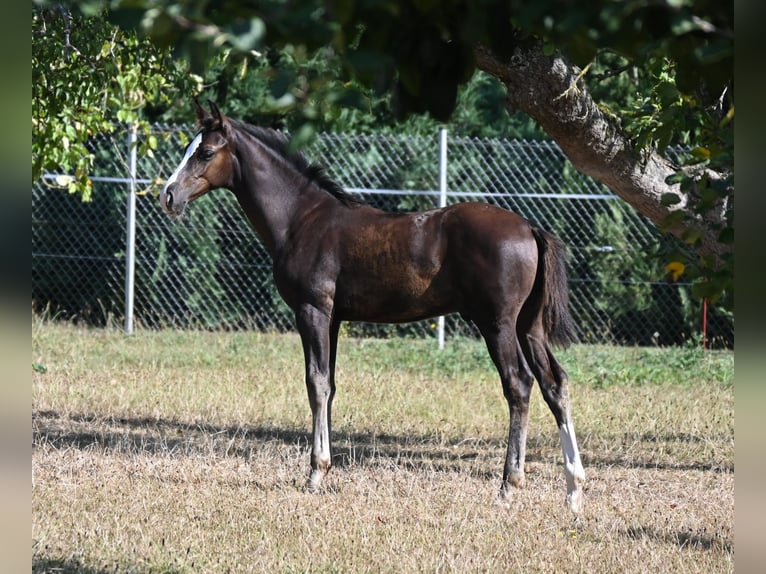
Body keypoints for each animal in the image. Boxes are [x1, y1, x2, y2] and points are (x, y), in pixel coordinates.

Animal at [158, 101, 588, 516]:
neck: (302, 218)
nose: (168, 196)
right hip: (528, 326)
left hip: (497, 323)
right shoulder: (333, 319)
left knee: (519, 384)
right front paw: (324, 467)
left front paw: (316, 473)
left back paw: (508, 488)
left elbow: (315, 382)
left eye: (206, 152)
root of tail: (529, 228)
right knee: (555, 383)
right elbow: (329, 385)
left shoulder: (312, 311)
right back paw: (573, 489)